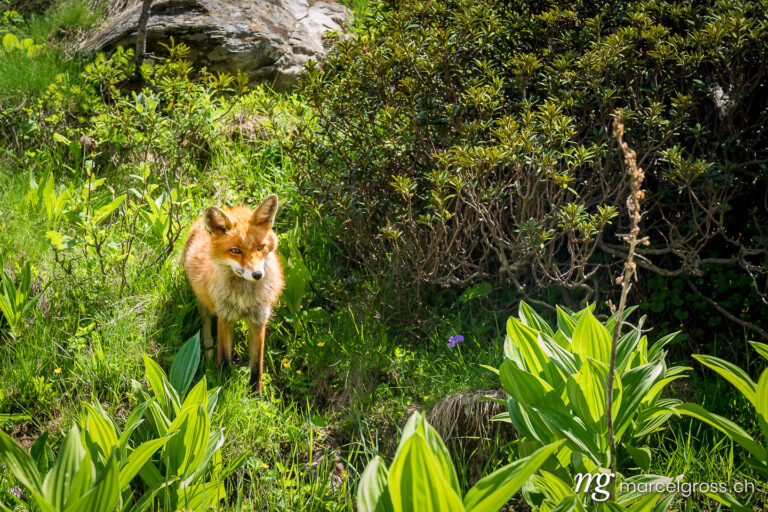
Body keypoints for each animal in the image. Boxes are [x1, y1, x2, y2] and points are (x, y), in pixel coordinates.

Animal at [184, 196, 284, 392]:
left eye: (261, 247)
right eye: (236, 251)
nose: (257, 274)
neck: (244, 299)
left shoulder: (258, 320)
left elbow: (257, 366)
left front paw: (256, 395)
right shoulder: (224, 318)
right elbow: (224, 359)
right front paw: (222, 388)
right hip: (203, 302)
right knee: (206, 329)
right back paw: (208, 353)